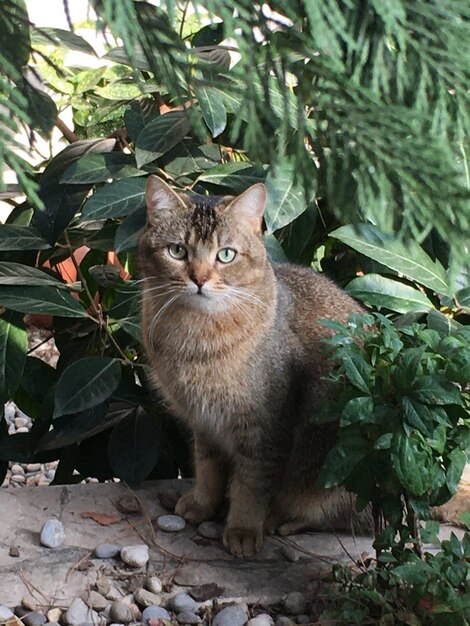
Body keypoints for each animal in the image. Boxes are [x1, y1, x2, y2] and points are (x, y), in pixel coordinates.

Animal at [139, 176, 466, 556]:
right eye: (177, 251)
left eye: (226, 255)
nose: (200, 279)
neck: (196, 337)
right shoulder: (204, 422)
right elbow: (207, 468)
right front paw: (202, 504)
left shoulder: (266, 426)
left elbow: (251, 484)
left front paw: (243, 529)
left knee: (351, 517)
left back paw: (282, 518)